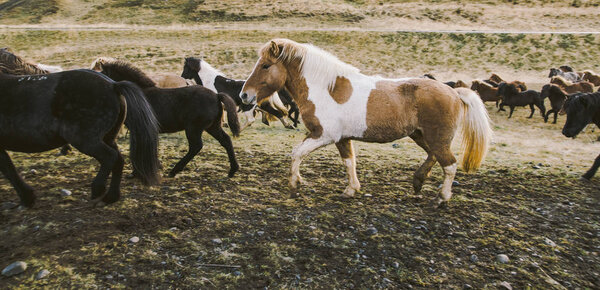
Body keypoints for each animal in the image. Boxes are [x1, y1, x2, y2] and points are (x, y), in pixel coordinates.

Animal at [0, 60, 162, 207]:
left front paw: (27, 198)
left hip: (86, 141)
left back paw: (98, 188)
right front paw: (27, 197)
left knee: (110, 157)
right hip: (107, 138)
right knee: (118, 160)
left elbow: (9, 171)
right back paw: (110, 197)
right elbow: (9, 169)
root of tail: (113, 85)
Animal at [97, 59, 240, 177]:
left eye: (103, 74)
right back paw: (233, 170)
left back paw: (175, 170)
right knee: (226, 141)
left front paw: (136, 172)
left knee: (196, 146)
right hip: (212, 127)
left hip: (194, 128)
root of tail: (216, 96)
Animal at [239, 38, 492, 206]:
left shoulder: (323, 135)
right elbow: (349, 162)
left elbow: (296, 153)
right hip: (420, 135)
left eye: (265, 66)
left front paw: (294, 186)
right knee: (434, 157)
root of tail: (454, 92)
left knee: (449, 164)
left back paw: (442, 197)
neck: (326, 89)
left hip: (436, 138)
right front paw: (351, 190)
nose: (244, 95)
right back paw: (418, 182)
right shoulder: (341, 138)